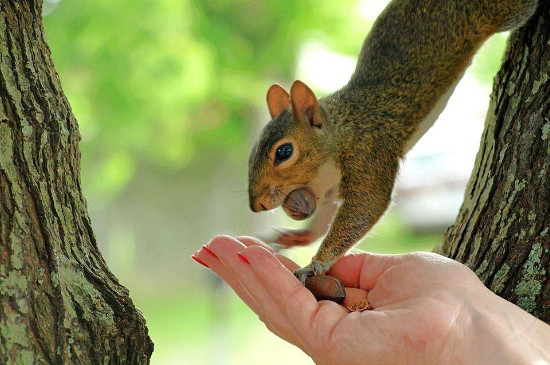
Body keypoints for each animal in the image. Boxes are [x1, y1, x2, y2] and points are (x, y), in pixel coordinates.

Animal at [249, 0, 540, 282]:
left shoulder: (368, 156)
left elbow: (366, 206)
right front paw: (299, 237)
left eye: (284, 152)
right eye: (253, 152)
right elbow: (326, 216)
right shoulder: (330, 190)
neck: (342, 133)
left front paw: (316, 264)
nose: (256, 205)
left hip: (502, 13)